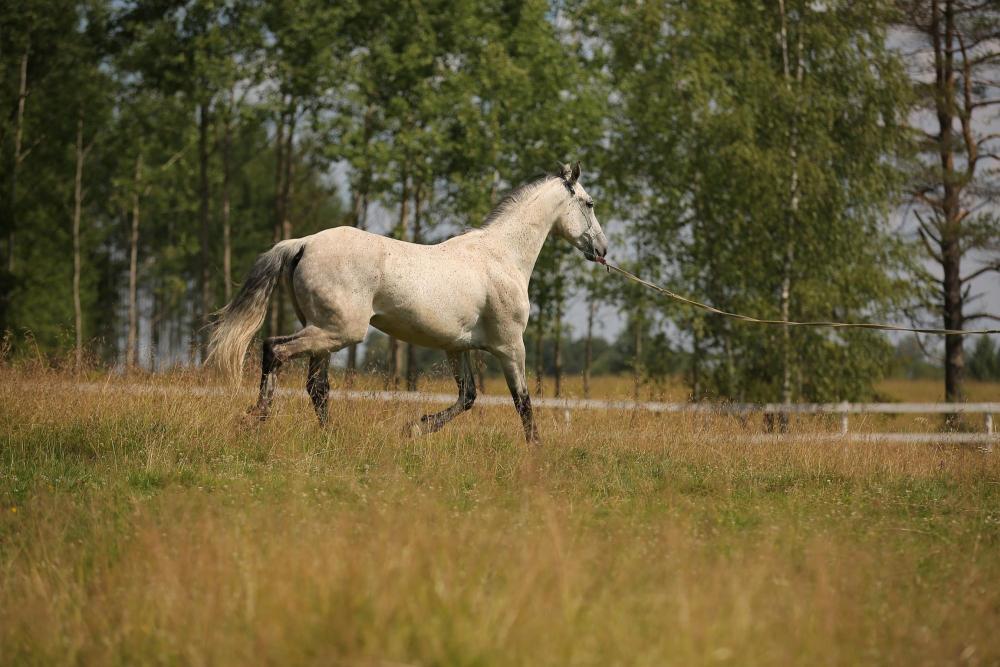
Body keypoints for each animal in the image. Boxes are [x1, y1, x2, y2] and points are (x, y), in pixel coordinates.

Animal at [207, 162, 608, 442]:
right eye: (589, 203)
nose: (602, 250)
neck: (501, 256)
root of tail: (301, 244)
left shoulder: (456, 348)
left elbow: (468, 397)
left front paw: (415, 428)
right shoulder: (510, 347)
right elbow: (522, 403)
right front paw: (535, 452)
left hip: (324, 331)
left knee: (316, 387)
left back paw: (329, 437)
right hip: (338, 331)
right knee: (275, 349)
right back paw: (255, 419)